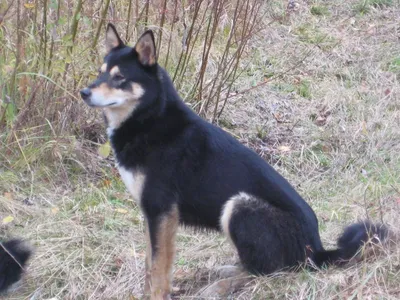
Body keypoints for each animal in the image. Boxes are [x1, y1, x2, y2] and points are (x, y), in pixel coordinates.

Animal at [80, 24, 388, 300]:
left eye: (120, 78)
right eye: (100, 72)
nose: (84, 92)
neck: (149, 118)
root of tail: (316, 251)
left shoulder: (162, 211)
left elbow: (158, 268)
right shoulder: (151, 214)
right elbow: (150, 264)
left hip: (238, 206)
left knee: (269, 271)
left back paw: (219, 286)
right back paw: (225, 271)